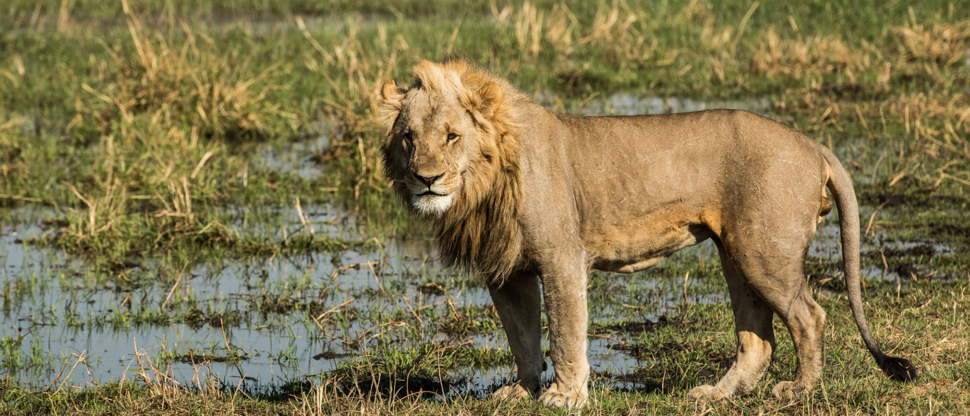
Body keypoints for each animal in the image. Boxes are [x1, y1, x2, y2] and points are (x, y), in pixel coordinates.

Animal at [378, 57, 917, 408]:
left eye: (452, 136)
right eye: (408, 139)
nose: (427, 179)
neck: (483, 185)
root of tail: (812, 143)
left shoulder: (561, 257)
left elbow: (566, 333)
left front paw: (564, 397)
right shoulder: (507, 271)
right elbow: (522, 335)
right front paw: (522, 390)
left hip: (765, 252)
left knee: (809, 316)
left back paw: (799, 390)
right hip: (737, 253)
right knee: (757, 339)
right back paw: (716, 394)